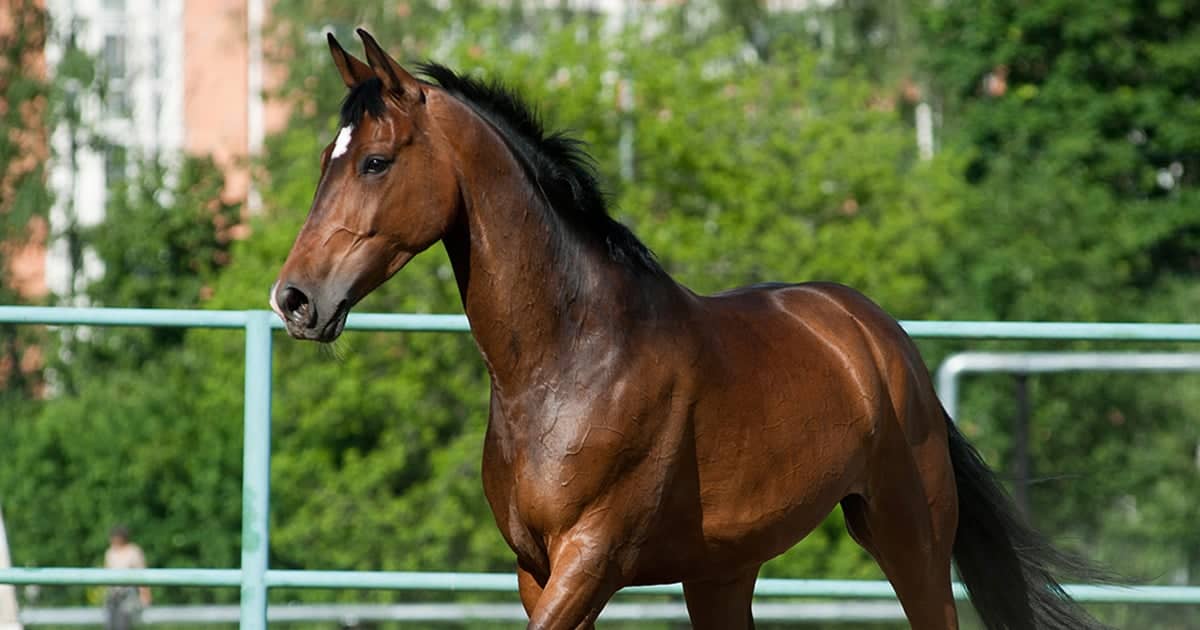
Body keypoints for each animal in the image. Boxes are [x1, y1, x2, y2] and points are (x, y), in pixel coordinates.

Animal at [270, 29, 1107, 630]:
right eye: (328, 160)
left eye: (376, 161)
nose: (295, 299)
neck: (568, 363)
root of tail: (877, 336)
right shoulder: (536, 569)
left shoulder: (593, 558)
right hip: (722, 573)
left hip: (911, 536)